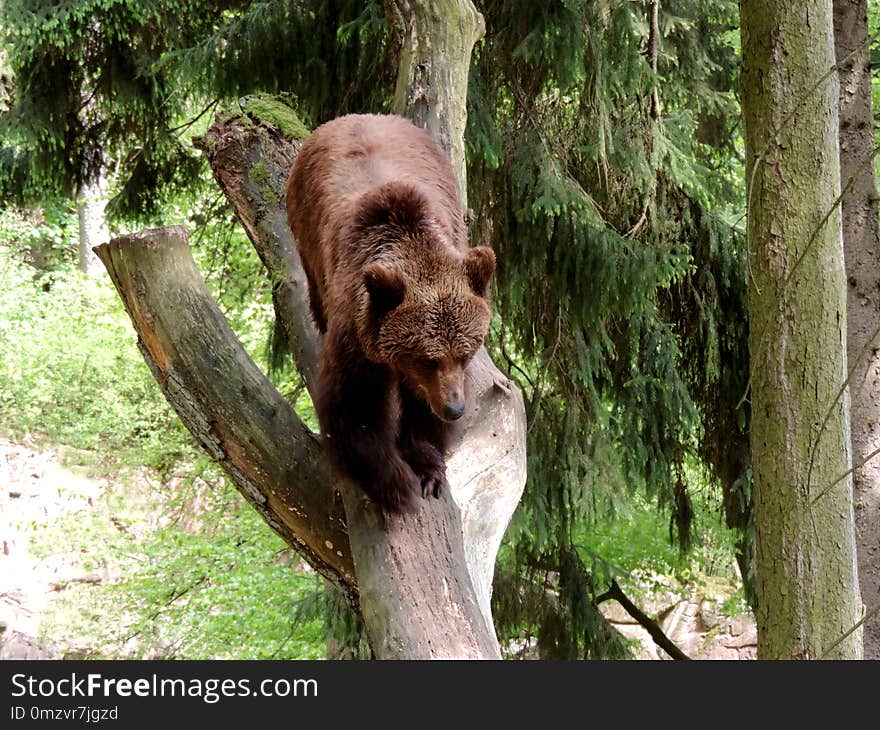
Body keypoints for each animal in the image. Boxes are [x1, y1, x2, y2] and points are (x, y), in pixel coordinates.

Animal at [288, 114, 496, 512]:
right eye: (428, 359)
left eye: (465, 353)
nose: (454, 409)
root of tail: (357, 115)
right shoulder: (355, 329)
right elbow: (355, 406)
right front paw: (396, 485)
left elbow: (419, 412)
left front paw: (428, 466)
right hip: (305, 231)